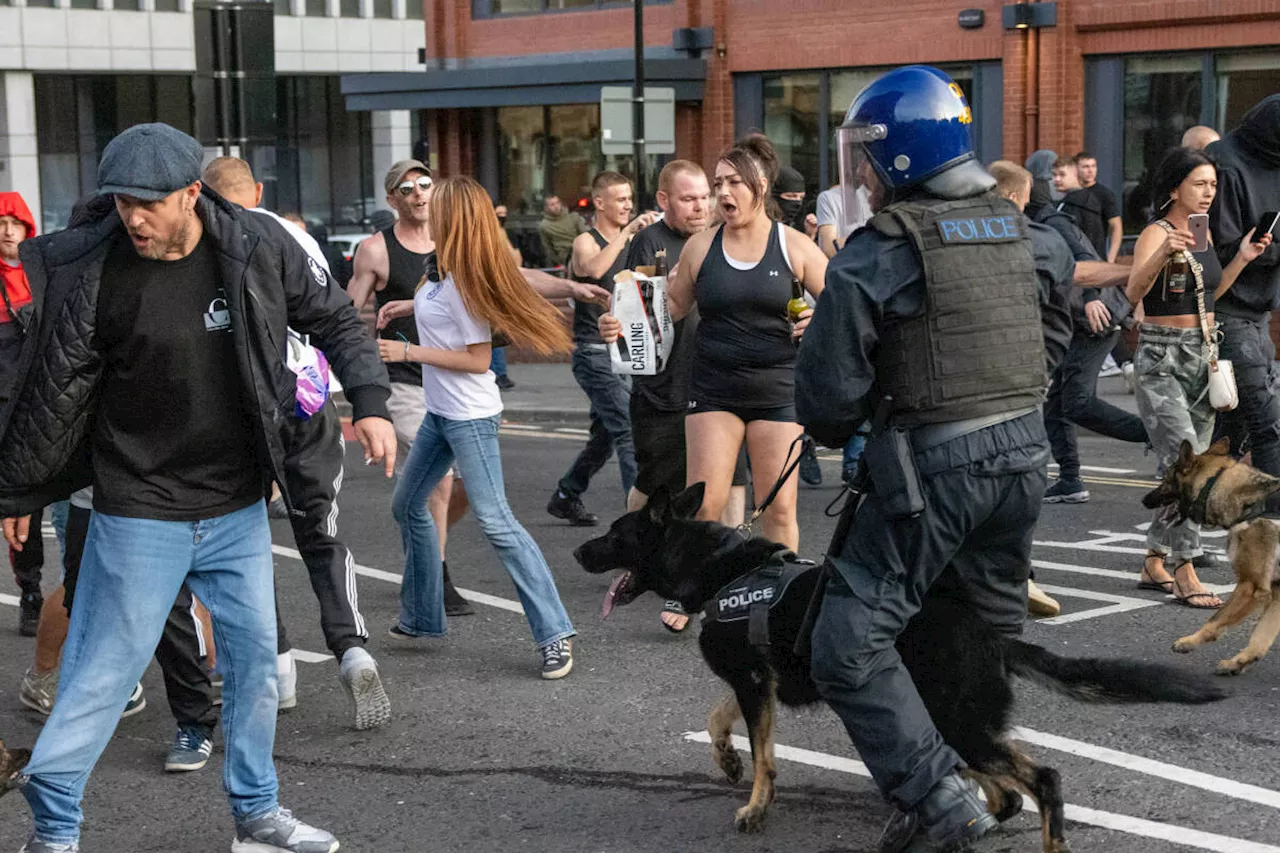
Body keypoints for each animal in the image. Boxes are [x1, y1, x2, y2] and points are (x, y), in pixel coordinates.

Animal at [576, 484, 1223, 850]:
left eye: (614, 535)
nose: (581, 549)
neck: (716, 566)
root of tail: (992, 635)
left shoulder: (756, 683)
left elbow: (765, 758)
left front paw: (756, 806)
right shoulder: (758, 681)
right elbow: (718, 720)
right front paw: (727, 761)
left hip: (956, 716)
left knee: (1043, 781)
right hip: (945, 716)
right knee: (1005, 795)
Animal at [1141, 438, 1280, 671]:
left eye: (1167, 480)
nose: (1144, 500)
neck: (1248, 503)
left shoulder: (1249, 587)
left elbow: (1216, 619)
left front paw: (1189, 641)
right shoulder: (1275, 591)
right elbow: (1260, 638)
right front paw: (1239, 662)